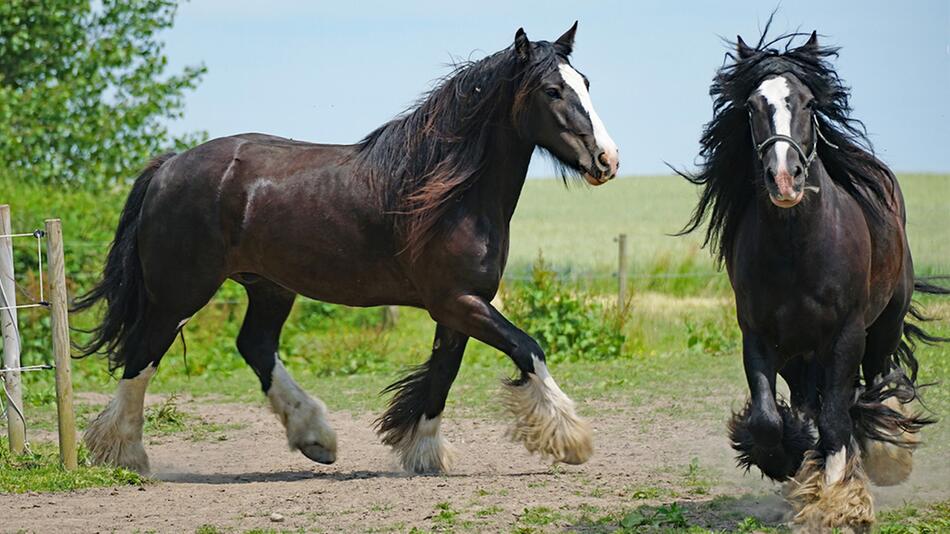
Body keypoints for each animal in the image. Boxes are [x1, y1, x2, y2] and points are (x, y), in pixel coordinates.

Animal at [78, 24, 620, 478]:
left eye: (586, 83)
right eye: (552, 90)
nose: (607, 160)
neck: (450, 195)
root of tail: (169, 166)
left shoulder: (461, 306)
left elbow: (442, 377)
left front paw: (424, 454)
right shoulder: (458, 302)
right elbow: (528, 348)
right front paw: (570, 440)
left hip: (269, 287)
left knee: (255, 346)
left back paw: (316, 438)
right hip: (181, 292)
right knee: (144, 354)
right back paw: (124, 454)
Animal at [680, 26, 940, 532]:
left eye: (806, 102)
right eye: (753, 106)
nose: (784, 178)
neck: (797, 251)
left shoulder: (846, 335)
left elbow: (839, 416)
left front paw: (839, 504)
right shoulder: (760, 335)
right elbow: (769, 418)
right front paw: (790, 459)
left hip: (884, 325)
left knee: (877, 381)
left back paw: (884, 454)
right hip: (799, 352)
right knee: (813, 399)